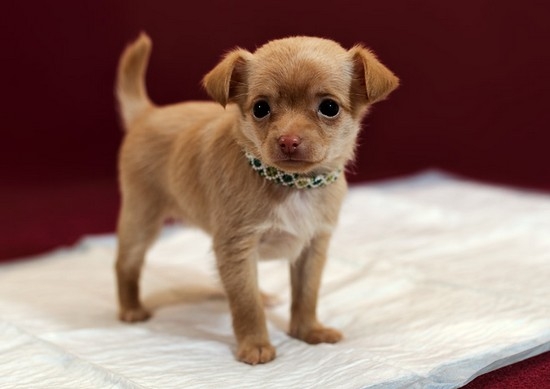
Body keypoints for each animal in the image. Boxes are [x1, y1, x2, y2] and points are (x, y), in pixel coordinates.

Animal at [115, 33, 402, 364]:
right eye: (260, 108)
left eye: (329, 107)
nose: (288, 141)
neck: (292, 185)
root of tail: (148, 113)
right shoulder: (237, 247)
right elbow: (245, 302)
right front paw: (255, 345)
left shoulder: (312, 247)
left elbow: (306, 294)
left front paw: (308, 331)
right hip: (142, 219)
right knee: (126, 263)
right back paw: (131, 309)